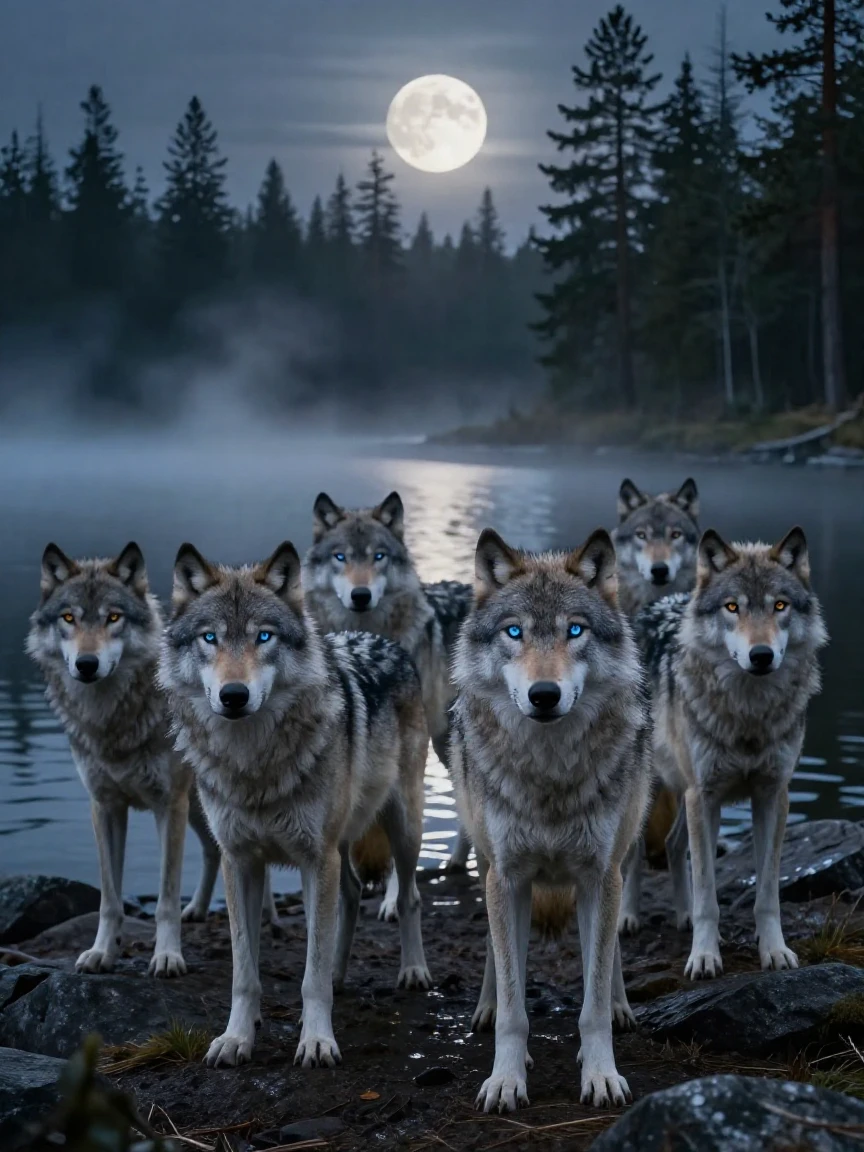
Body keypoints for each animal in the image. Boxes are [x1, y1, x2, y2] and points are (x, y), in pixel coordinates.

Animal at [25, 541, 220, 978]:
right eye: (69, 618)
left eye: (113, 617)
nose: (87, 664)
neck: (112, 721)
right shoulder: (105, 806)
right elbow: (110, 899)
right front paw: (102, 953)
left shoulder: (168, 806)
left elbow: (165, 898)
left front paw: (167, 956)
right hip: (200, 807)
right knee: (216, 850)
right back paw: (199, 910)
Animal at [159, 540, 431, 1069]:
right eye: (210, 638)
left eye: (264, 636)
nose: (234, 695)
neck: (252, 764)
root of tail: (386, 643)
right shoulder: (241, 861)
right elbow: (245, 970)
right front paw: (236, 1038)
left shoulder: (314, 858)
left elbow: (311, 973)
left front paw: (317, 1040)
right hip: (341, 845)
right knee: (351, 894)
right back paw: (342, 974)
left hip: (403, 827)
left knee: (408, 895)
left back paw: (413, 971)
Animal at [450, 528, 651, 1112]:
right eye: (514, 631)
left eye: (575, 630)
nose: (544, 695)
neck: (549, 775)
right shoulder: (509, 878)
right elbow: (515, 1001)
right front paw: (506, 1078)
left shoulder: (599, 877)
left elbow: (593, 997)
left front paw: (601, 1074)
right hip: (488, 862)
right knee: (498, 953)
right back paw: (486, 1005)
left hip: (620, 859)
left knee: (607, 959)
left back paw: (622, 1005)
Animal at [634, 527, 827, 979]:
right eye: (732, 607)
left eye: (779, 605)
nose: (761, 655)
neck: (748, 714)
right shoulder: (703, 797)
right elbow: (709, 892)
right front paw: (704, 956)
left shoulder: (771, 795)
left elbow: (768, 893)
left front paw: (774, 951)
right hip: (654, 791)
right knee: (631, 856)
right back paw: (626, 919)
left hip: (691, 798)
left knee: (672, 845)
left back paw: (682, 916)